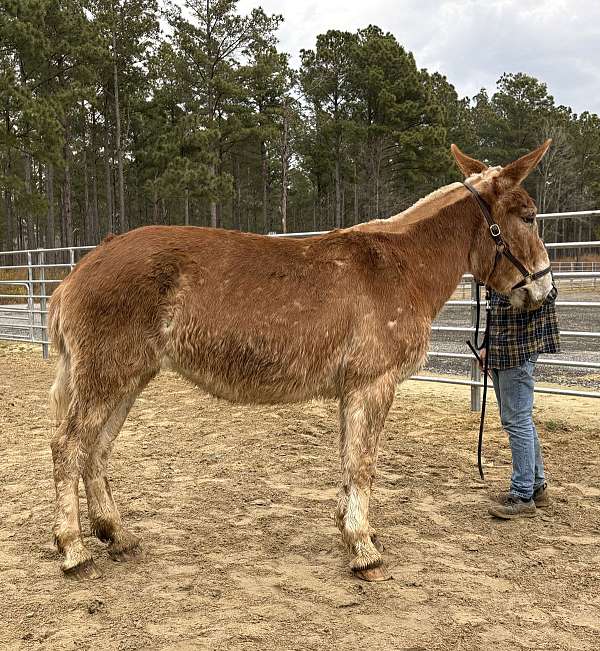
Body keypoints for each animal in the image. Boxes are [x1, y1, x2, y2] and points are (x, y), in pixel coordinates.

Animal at [48, 141, 554, 581]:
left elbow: (349, 460)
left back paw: (117, 535)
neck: (399, 265)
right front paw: (364, 551)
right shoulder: (373, 384)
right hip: (106, 378)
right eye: (529, 217)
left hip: (128, 379)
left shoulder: (352, 390)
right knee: (68, 447)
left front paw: (351, 531)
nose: (544, 290)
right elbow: (363, 464)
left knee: (97, 450)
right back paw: (74, 550)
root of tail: (79, 271)